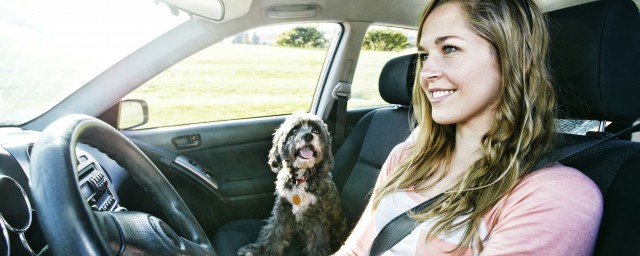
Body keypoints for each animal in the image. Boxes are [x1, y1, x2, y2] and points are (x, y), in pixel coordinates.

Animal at [236, 112, 344, 256]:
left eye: (316, 131)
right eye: (294, 130)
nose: (308, 136)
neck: (300, 180)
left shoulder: (317, 215)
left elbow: (317, 240)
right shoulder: (283, 208)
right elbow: (274, 231)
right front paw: (259, 250)